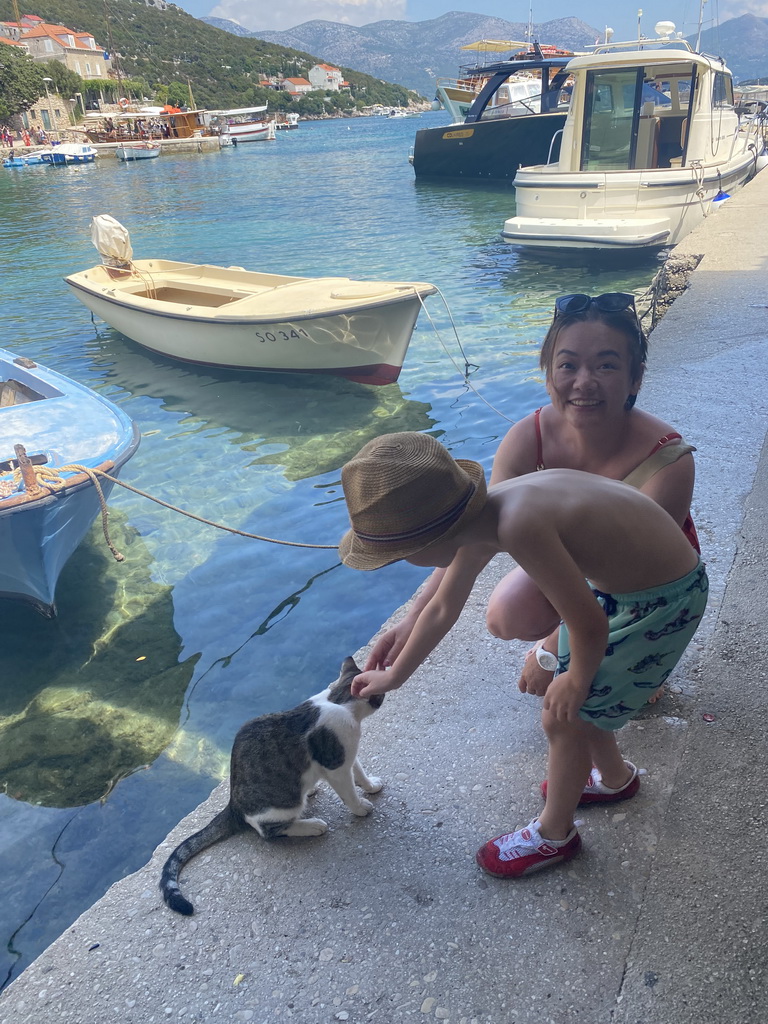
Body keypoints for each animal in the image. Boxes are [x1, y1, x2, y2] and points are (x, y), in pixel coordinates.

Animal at [159, 659, 385, 917]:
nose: (385, 692)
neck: (338, 701)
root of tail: (233, 804)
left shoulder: (345, 755)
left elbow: (359, 772)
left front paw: (370, 786)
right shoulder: (335, 764)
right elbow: (348, 792)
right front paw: (360, 808)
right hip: (285, 804)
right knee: (268, 830)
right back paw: (312, 825)